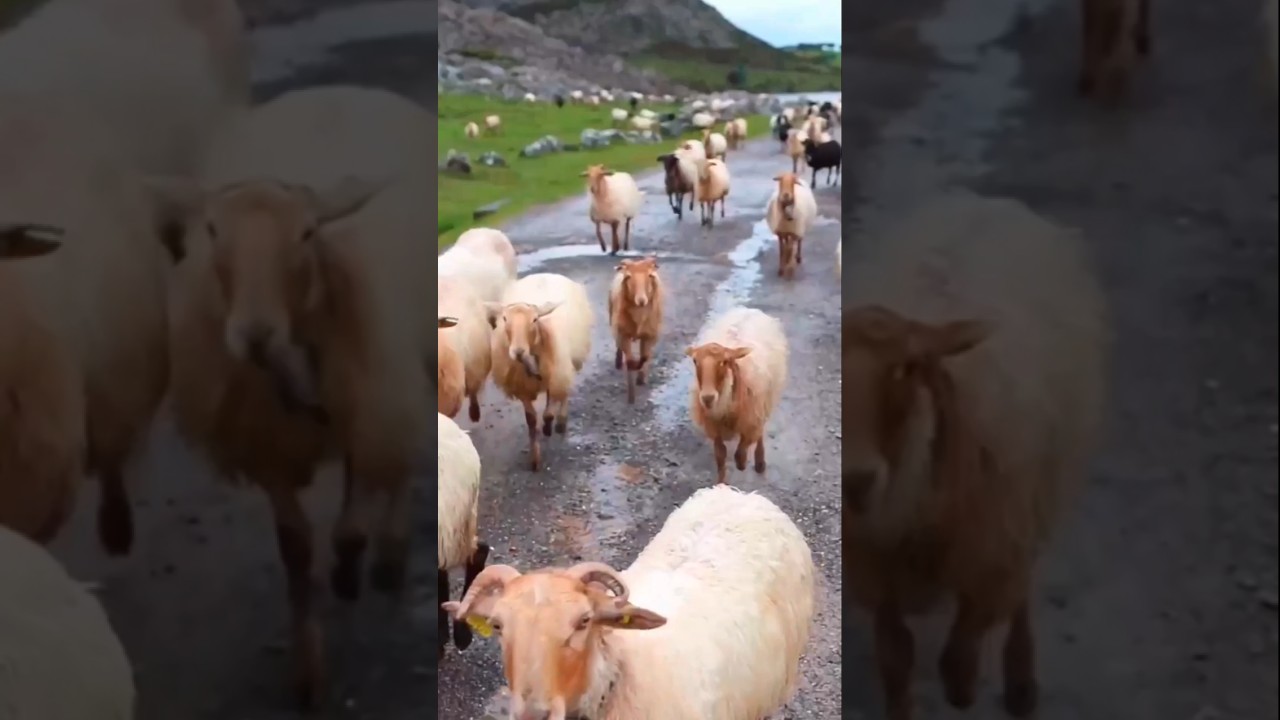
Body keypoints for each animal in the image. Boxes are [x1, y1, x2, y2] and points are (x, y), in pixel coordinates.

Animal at [153, 84, 437, 710]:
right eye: (212, 231)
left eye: (307, 234)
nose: (253, 334)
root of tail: (341, 90)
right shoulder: (268, 448)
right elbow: (296, 548)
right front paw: (308, 671)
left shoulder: (369, 397)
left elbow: (353, 519)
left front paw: (352, 569)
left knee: (400, 455)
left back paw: (388, 555)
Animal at [487, 273, 594, 472]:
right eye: (504, 319)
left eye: (535, 320)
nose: (518, 351)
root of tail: (545, 274)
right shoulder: (522, 389)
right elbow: (531, 421)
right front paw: (535, 459)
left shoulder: (554, 376)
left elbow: (548, 413)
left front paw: (548, 428)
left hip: (567, 364)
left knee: (564, 392)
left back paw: (560, 423)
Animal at [608, 257, 664, 404]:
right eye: (628, 277)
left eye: (650, 275)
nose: (641, 300)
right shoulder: (623, 334)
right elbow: (629, 361)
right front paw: (631, 396)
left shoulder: (650, 335)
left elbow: (645, 357)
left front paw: (640, 377)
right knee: (619, 347)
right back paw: (618, 361)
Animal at [686, 307, 789, 484]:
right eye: (694, 361)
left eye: (724, 362)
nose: (707, 397)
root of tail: (750, 310)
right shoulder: (714, 427)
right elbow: (720, 456)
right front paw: (721, 484)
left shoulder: (750, 419)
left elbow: (741, 451)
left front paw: (742, 463)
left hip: (764, 400)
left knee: (760, 432)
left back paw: (760, 462)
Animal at [842, 193, 1107, 720]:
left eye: (905, 369)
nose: (855, 480)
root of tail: (989, 202)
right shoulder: (875, 575)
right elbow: (895, 658)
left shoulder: (994, 552)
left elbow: (961, 649)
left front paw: (964, 686)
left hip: (1032, 499)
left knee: (1021, 592)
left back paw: (1021, 683)